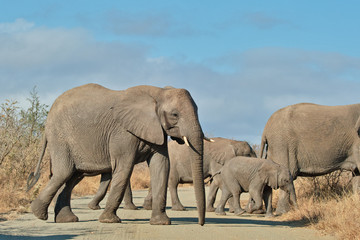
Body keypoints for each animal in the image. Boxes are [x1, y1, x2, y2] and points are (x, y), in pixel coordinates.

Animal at [27, 84, 207, 225]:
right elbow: (124, 167)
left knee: (72, 177)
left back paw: (66, 219)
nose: (201, 224)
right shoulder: (122, 133)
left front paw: (161, 223)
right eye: (175, 114)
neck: (158, 92)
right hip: (60, 137)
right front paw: (109, 220)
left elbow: (161, 166)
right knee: (64, 173)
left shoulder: (157, 130)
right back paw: (39, 214)